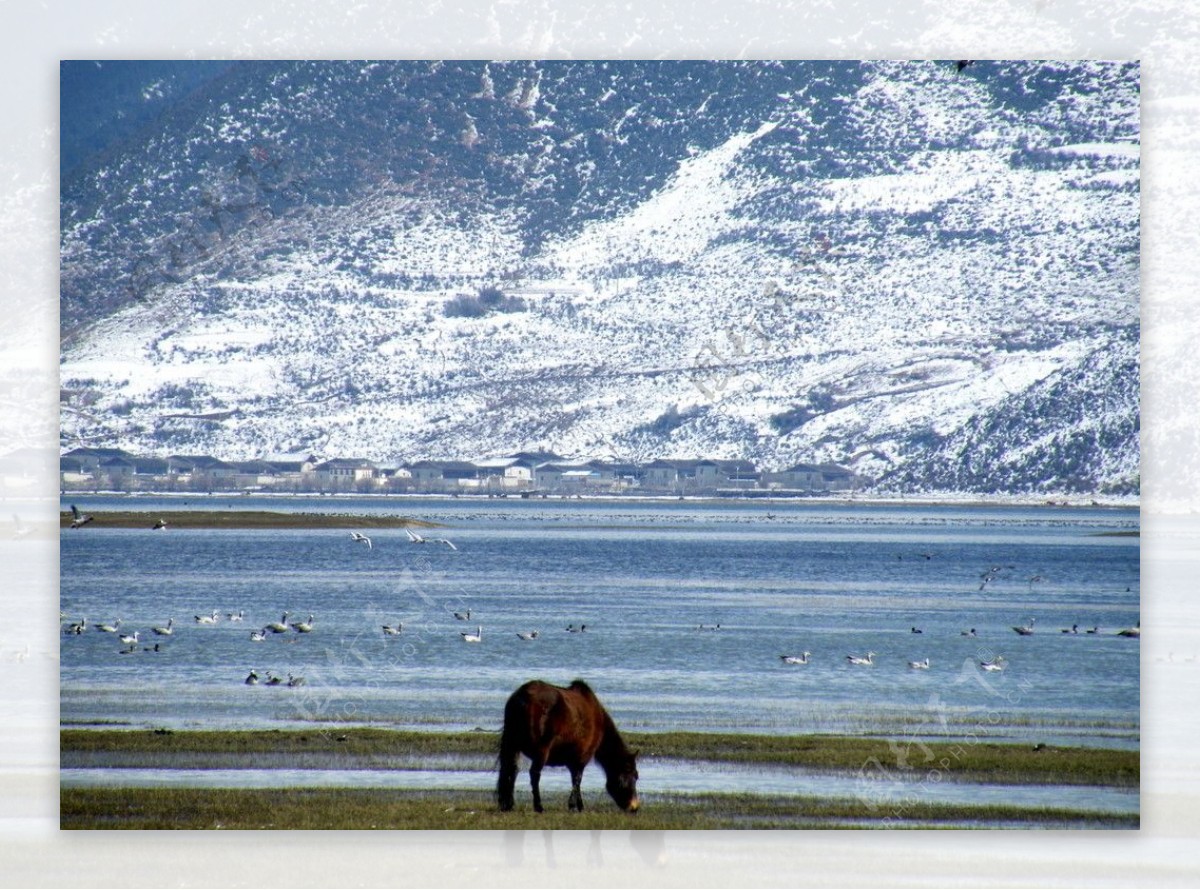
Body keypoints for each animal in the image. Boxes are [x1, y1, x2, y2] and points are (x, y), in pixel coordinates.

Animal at [494, 681, 638, 815]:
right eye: (633, 776)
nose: (634, 807)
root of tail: (522, 698)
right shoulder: (581, 759)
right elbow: (577, 780)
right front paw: (576, 805)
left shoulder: (573, 761)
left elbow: (575, 780)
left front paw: (576, 805)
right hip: (542, 751)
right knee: (534, 774)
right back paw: (539, 806)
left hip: (512, 746)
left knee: (511, 770)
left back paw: (508, 804)